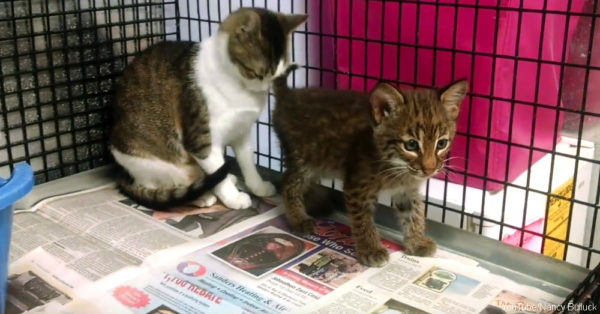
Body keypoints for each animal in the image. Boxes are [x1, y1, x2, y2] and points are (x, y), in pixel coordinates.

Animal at [109, 7, 308, 209]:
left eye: (279, 75)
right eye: (257, 74)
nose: (267, 90)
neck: (237, 84)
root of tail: (124, 175)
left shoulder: (242, 130)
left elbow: (247, 161)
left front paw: (257, 185)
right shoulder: (201, 140)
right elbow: (218, 173)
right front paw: (233, 198)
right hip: (148, 162)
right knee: (164, 185)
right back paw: (202, 196)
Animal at [274, 65, 468, 264]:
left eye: (441, 144)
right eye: (411, 145)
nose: (429, 169)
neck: (397, 166)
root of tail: (288, 94)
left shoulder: (407, 188)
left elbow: (414, 212)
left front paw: (417, 241)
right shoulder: (357, 187)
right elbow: (363, 220)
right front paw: (370, 249)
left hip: (320, 160)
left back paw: (315, 204)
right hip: (301, 157)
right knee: (288, 182)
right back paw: (298, 218)